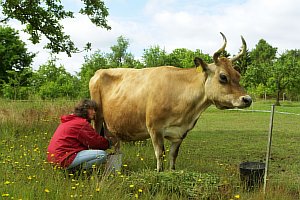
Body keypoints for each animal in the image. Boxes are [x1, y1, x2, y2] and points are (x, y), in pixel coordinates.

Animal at [88, 32, 251, 172]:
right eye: (223, 76)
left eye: (238, 75)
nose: (247, 99)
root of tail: (98, 72)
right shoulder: (154, 129)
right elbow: (160, 155)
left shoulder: (180, 133)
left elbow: (173, 157)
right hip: (97, 118)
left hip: (112, 127)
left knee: (116, 148)